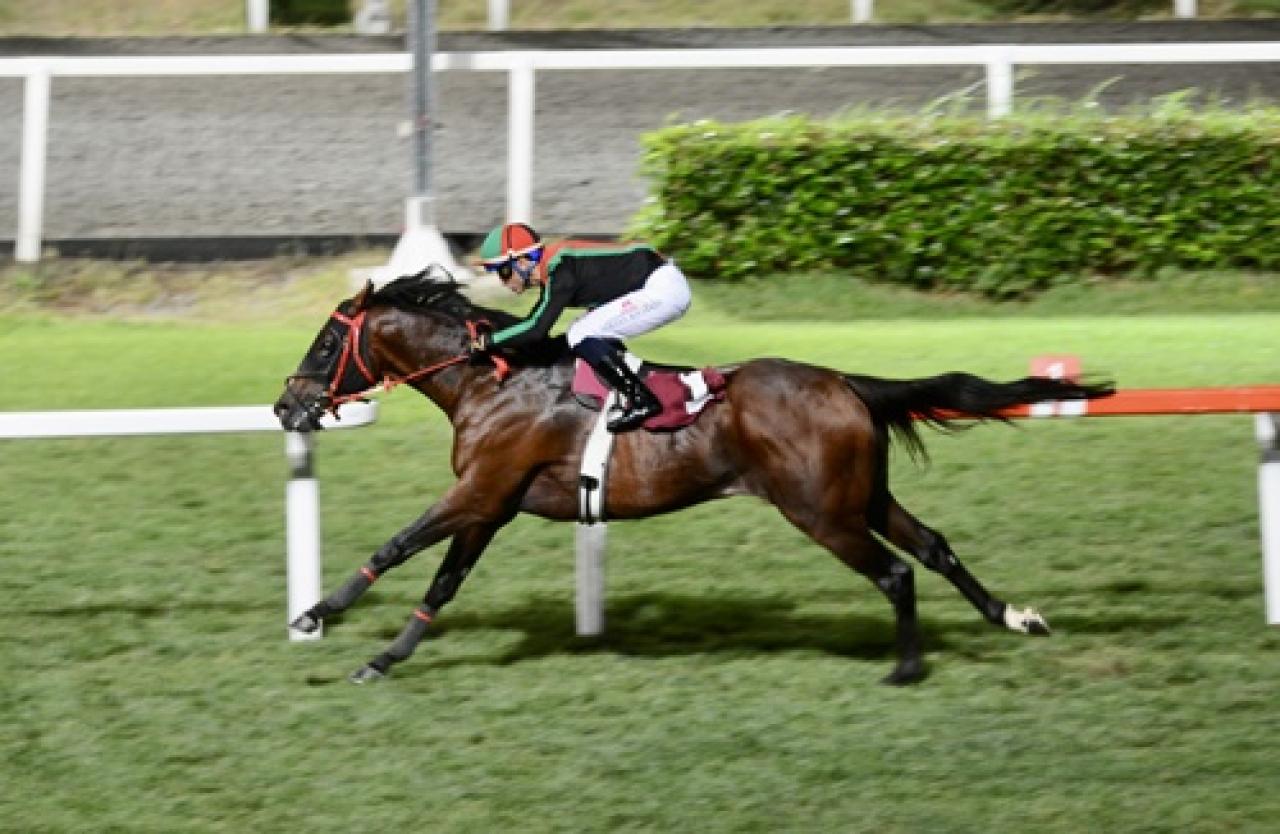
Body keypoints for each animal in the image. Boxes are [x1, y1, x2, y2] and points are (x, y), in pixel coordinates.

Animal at [272, 273, 1111, 685]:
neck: (489, 380)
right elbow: (441, 583)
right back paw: (1014, 617)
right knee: (934, 546)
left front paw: (316, 613)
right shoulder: (493, 505)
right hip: (861, 496)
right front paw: (384, 658)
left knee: (896, 572)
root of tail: (846, 382)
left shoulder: (479, 491)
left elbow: (396, 545)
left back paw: (906, 667)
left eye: (325, 346)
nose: (286, 406)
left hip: (821, 512)